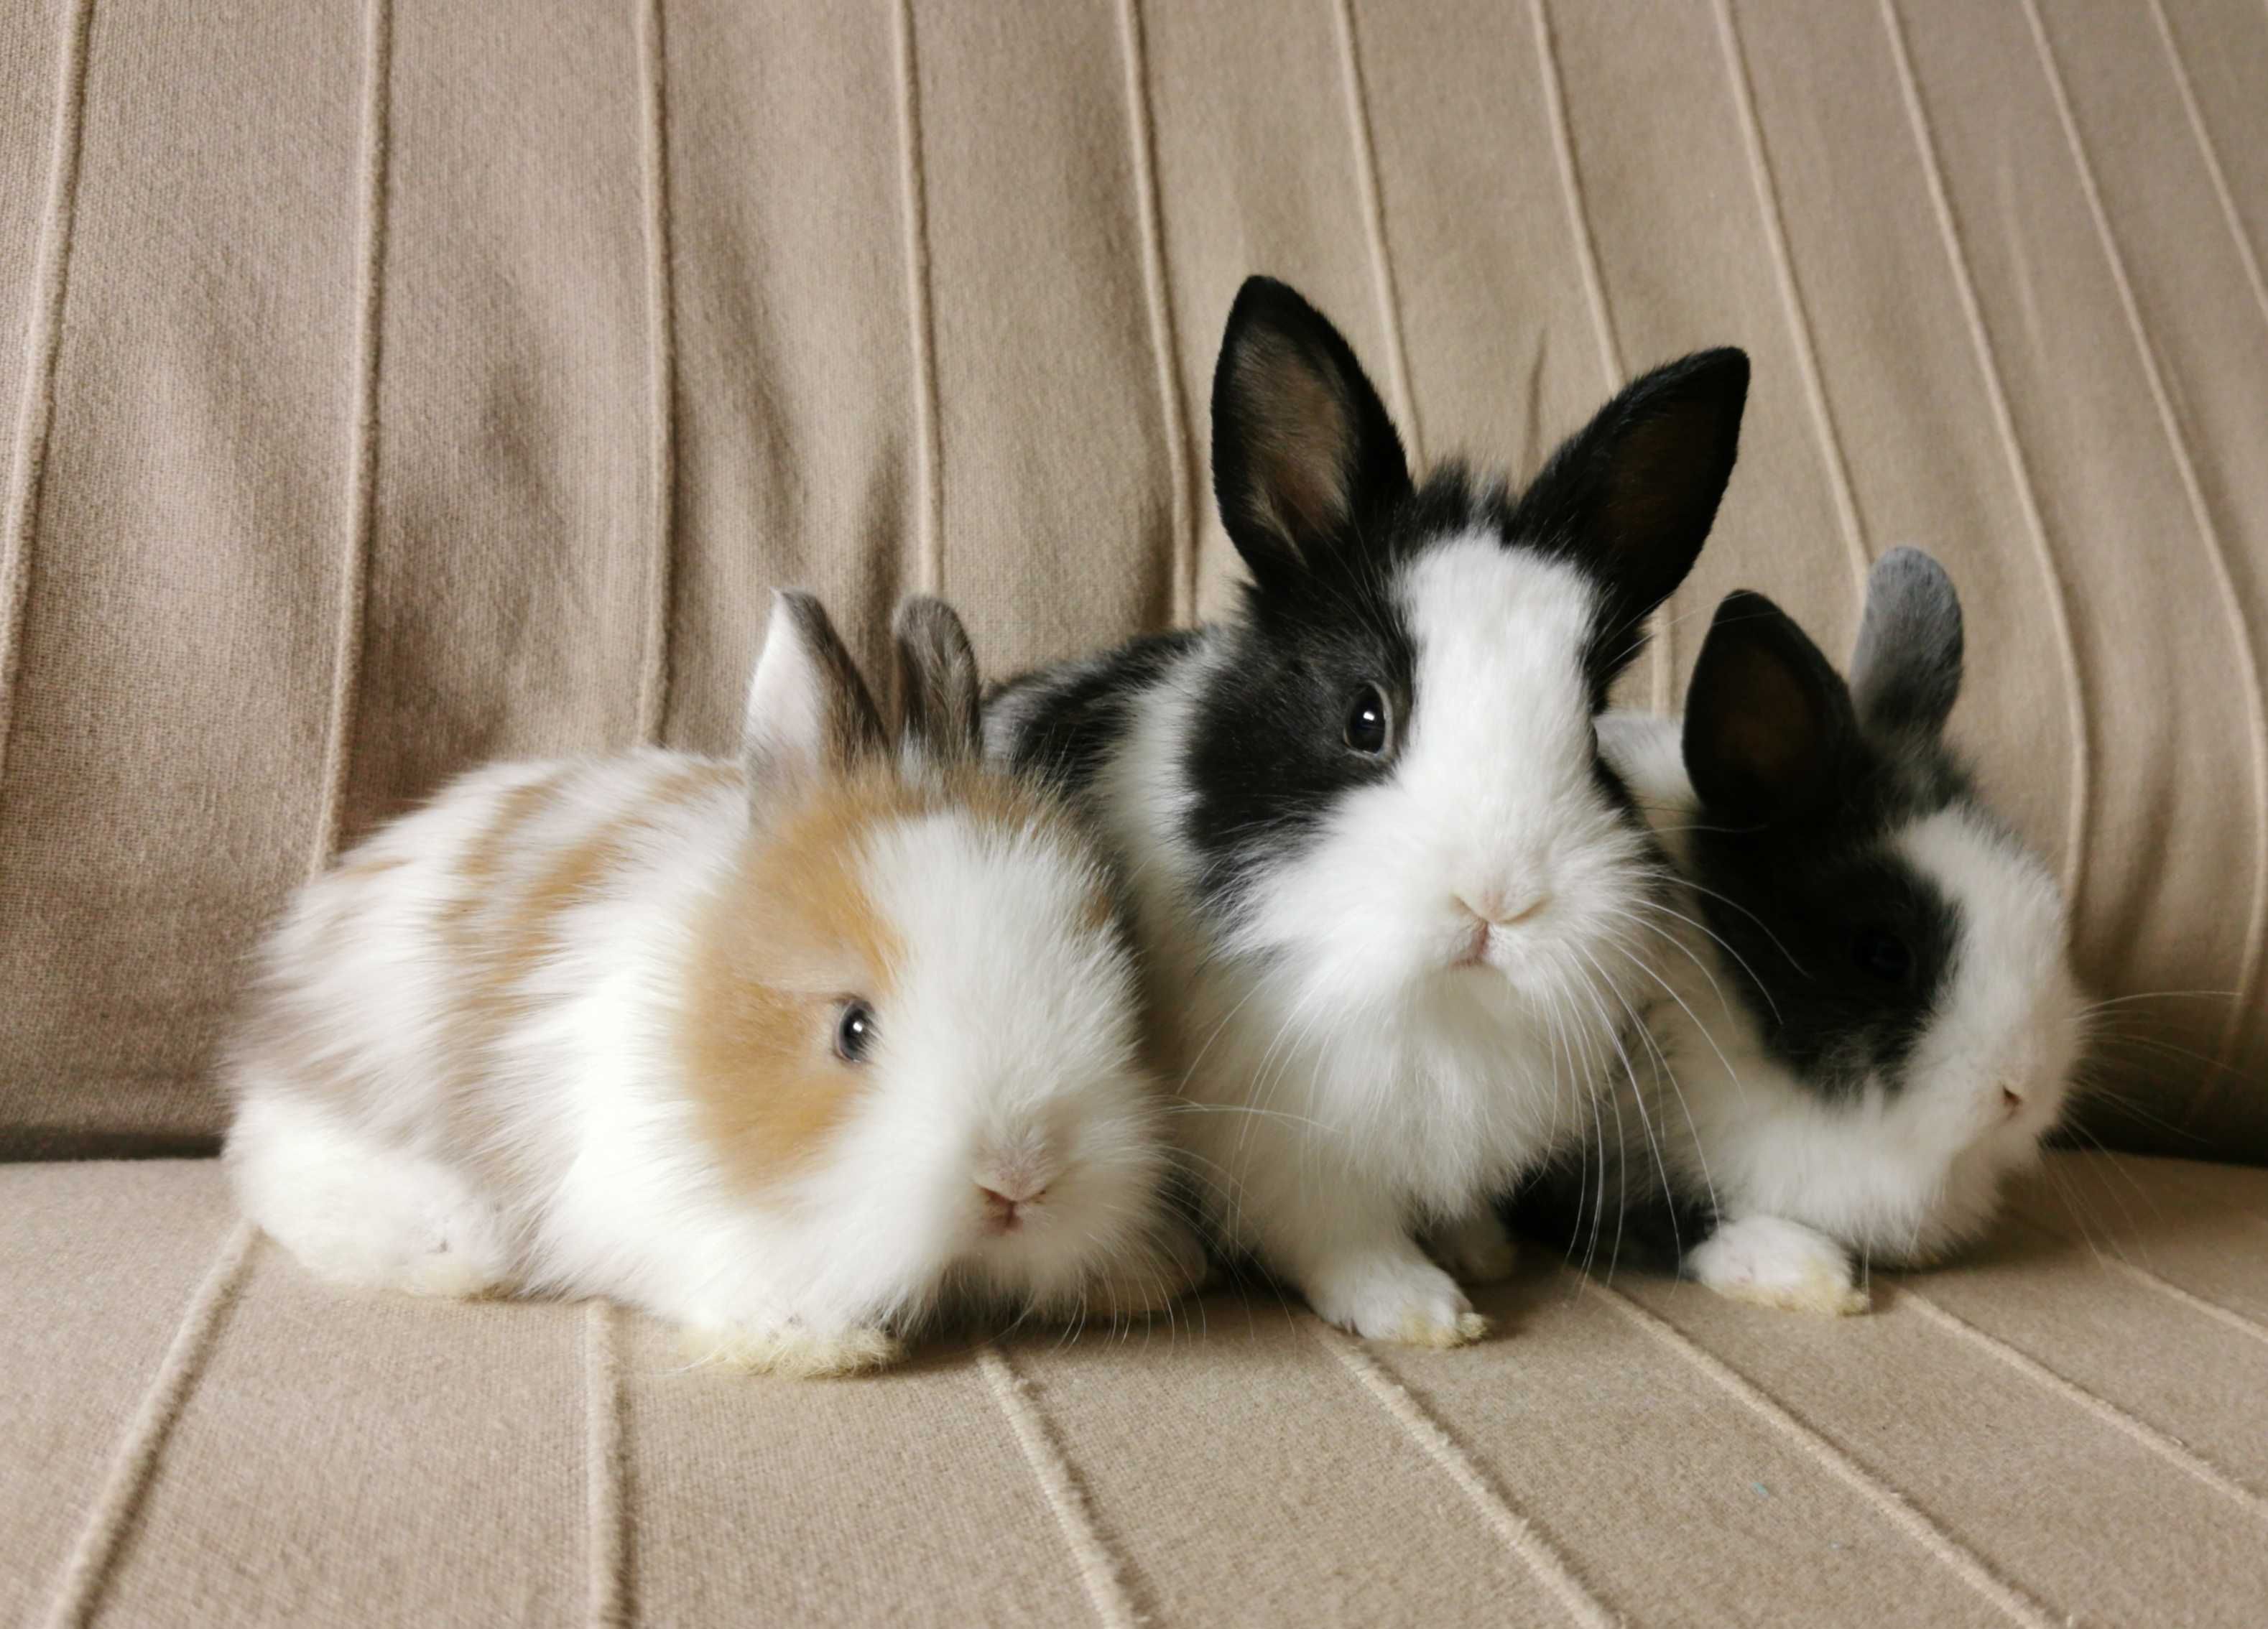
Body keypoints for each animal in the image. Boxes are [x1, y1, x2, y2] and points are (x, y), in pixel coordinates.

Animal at [984, 277, 1741, 1352]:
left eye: (1590, 732)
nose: (1497, 902)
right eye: (1364, 717)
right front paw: (1423, 1309)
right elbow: (1340, 1236)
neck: (1441, 1007)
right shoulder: (1288, 1144)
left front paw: (1481, 1250)